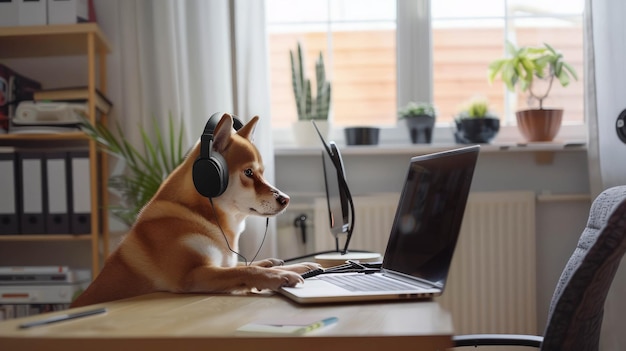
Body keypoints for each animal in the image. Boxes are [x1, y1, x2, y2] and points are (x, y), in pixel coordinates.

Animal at [70, 113, 320, 308]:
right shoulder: (194, 274)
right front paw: (282, 274)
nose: (286, 199)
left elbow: (246, 264)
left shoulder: (222, 263)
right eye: (249, 173)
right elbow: (246, 271)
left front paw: (294, 265)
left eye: (262, 173)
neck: (204, 216)